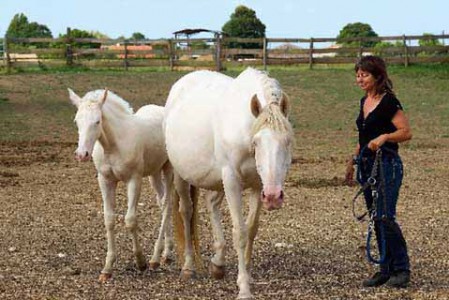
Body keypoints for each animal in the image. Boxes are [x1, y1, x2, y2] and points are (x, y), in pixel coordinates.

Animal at [68, 88, 173, 282]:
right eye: (76, 121)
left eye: (97, 121)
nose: (81, 154)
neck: (113, 145)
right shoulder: (105, 180)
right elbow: (109, 219)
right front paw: (107, 269)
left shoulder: (134, 180)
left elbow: (130, 220)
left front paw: (141, 262)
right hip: (154, 173)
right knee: (162, 202)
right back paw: (165, 254)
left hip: (169, 169)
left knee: (167, 205)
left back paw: (156, 258)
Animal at [165, 67, 294, 298]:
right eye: (256, 142)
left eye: (287, 141)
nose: (273, 196)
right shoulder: (232, 180)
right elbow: (240, 232)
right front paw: (244, 288)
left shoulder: (258, 185)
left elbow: (251, 229)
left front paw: (247, 277)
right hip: (181, 175)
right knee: (186, 211)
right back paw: (188, 267)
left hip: (218, 181)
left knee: (212, 204)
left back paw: (218, 263)